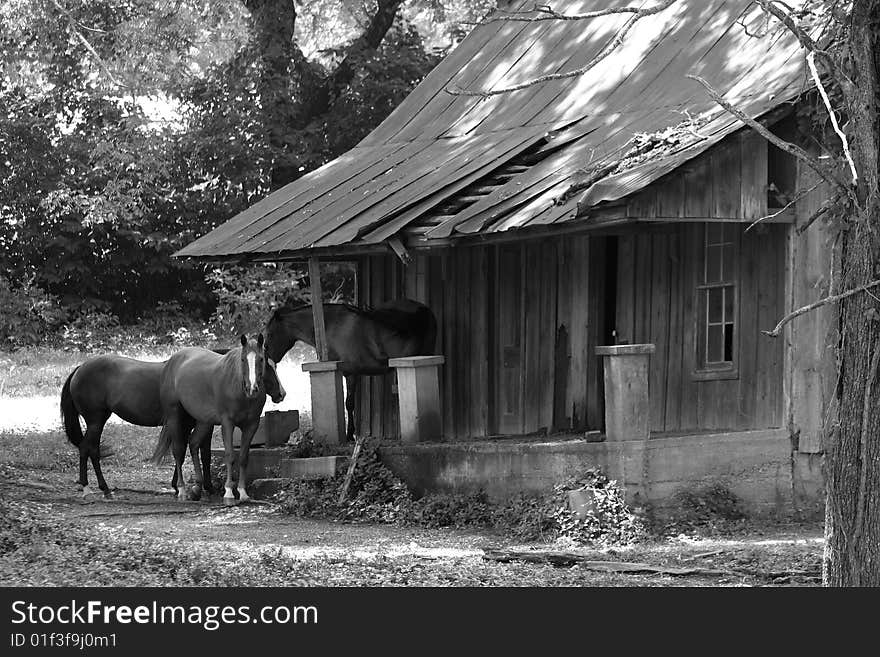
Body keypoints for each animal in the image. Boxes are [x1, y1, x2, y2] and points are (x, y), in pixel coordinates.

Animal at [62, 348, 282, 498]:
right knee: (88, 449)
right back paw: (93, 488)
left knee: (91, 450)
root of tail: (79, 369)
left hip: (98, 421)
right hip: (95, 420)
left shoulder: (196, 423)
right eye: (266, 367)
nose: (281, 393)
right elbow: (193, 451)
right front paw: (194, 487)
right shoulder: (198, 423)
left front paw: (184, 486)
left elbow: (193, 451)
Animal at [151, 336, 282, 504]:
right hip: (176, 416)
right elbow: (230, 456)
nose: (252, 388)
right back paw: (182, 490)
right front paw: (229, 492)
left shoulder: (251, 425)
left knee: (193, 443)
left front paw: (242, 492)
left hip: (202, 421)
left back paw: (198, 487)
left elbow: (244, 457)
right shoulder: (227, 424)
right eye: (243, 359)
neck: (238, 388)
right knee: (179, 451)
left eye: (261, 360)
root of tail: (171, 362)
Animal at [262, 298, 438, 440]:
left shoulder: (349, 373)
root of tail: (423, 310)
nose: (267, 357)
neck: (331, 325)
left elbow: (349, 404)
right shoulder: (355, 373)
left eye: (269, 334)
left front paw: (349, 435)